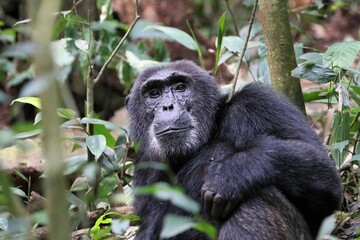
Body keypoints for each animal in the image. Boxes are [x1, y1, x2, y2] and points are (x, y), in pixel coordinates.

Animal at [126, 60, 340, 240]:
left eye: (180, 87)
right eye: (154, 93)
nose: (167, 106)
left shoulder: (260, 104)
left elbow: (321, 169)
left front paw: (231, 174)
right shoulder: (144, 164)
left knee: (254, 200)